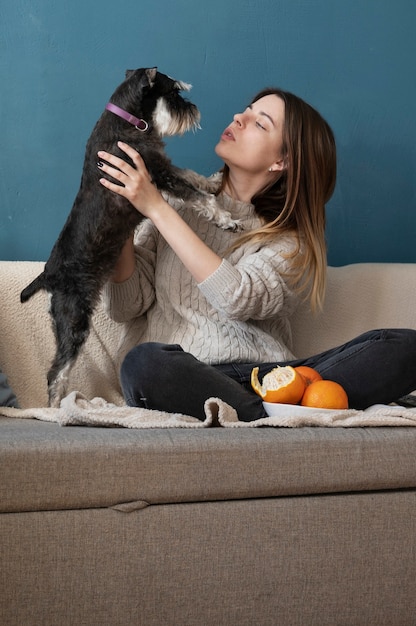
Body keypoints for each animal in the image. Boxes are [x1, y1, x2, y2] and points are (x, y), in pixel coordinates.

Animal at [21, 67, 239, 404]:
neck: (127, 121)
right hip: (74, 318)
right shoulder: (159, 174)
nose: (193, 109)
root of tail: (49, 275)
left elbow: (192, 177)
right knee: (57, 371)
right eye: (174, 93)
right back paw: (56, 407)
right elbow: (198, 197)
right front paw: (226, 218)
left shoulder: (159, 168)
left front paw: (214, 182)